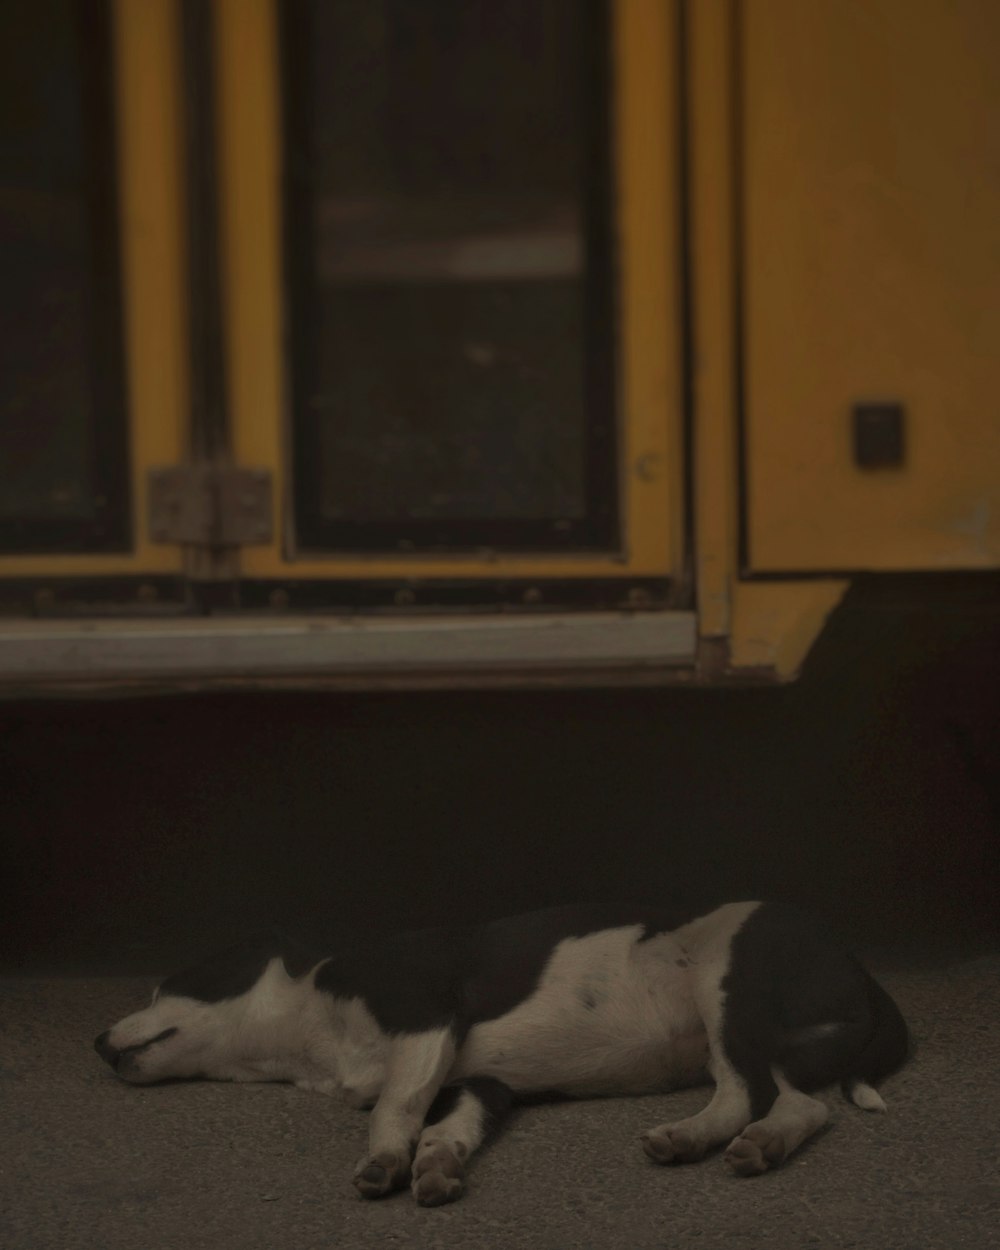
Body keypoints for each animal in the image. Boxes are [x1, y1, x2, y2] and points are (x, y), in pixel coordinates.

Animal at [97, 905, 910, 1205]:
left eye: (167, 985)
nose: (96, 1041)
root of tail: (860, 969)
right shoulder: (480, 1084)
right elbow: (442, 1125)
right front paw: (435, 1165)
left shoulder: (425, 1016)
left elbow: (393, 1107)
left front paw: (386, 1163)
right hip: (758, 1036)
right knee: (799, 1105)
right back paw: (747, 1145)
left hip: (726, 985)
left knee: (752, 1095)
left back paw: (696, 1139)